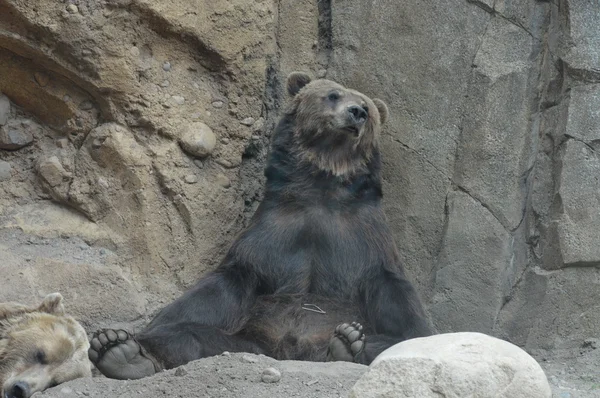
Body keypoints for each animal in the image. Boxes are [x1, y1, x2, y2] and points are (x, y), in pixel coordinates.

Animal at [88, 70, 432, 380]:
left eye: (367, 107)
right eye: (333, 94)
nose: (357, 112)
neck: (323, 185)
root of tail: (288, 351)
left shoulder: (364, 239)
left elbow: (404, 312)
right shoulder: (273, 230)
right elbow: (219, 289)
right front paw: (126, 339)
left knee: (390, 343)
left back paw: (347, 343)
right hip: (247, 340)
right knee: (187, 334)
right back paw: (120, 351)